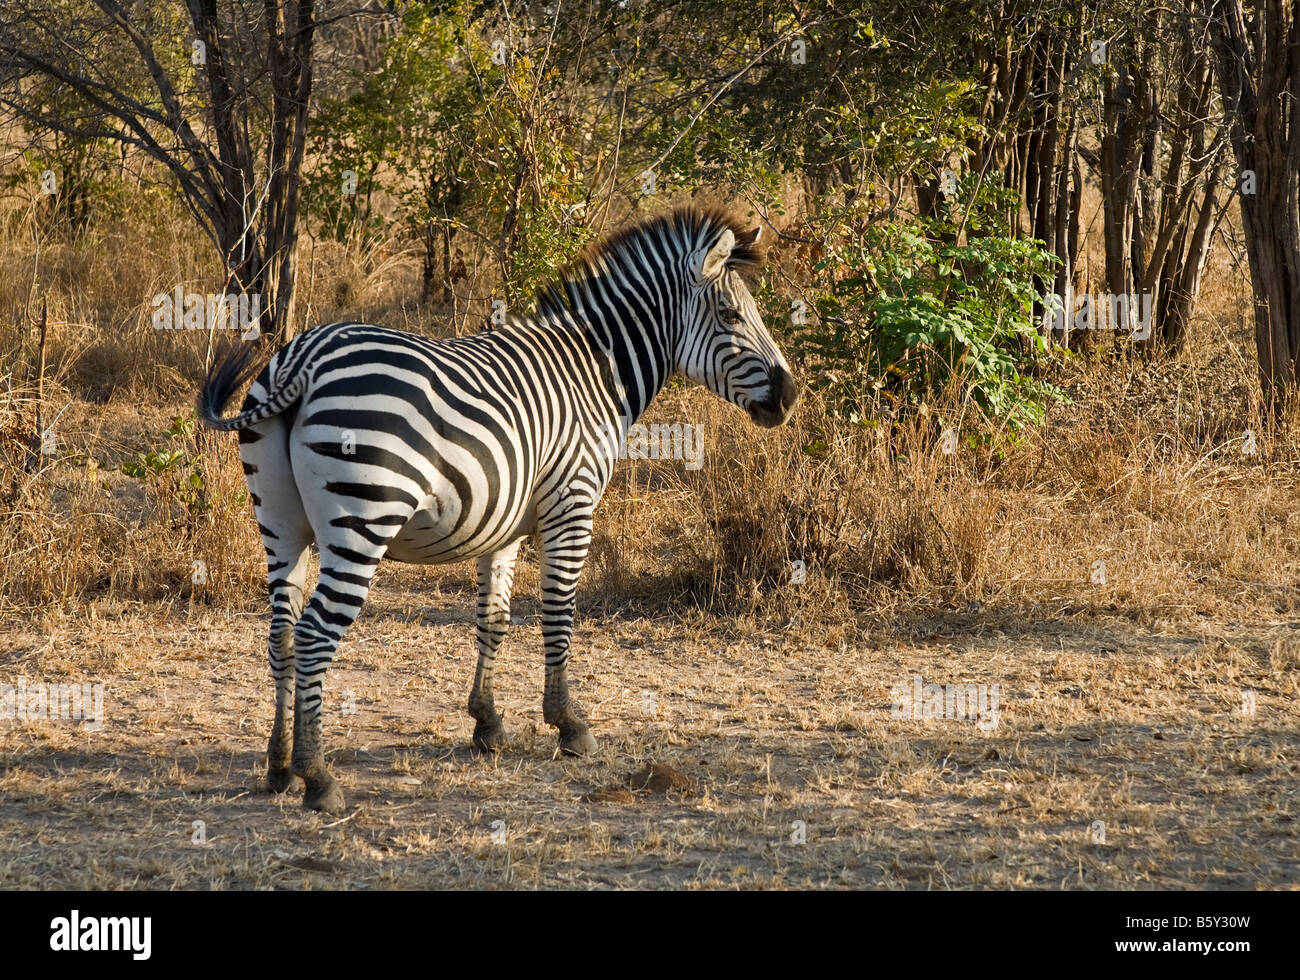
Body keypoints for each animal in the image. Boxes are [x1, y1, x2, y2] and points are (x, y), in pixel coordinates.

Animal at [197, 206, 795, 811]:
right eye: (730, 314)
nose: (790, 396)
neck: (596, 373)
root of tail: (304, 360)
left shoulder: (503, 524)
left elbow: (494, 618)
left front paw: (487, 723)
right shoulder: (573, 504)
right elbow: (558, 612)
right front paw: (569, 724)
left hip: (279, 523)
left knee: (281, 634)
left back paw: (279, 766)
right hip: (361, 520)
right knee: (315, 635)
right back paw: (317, 777)